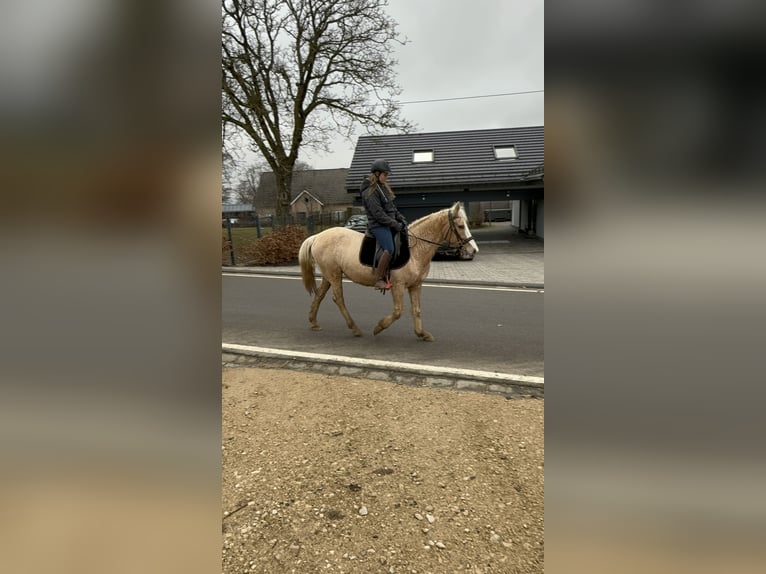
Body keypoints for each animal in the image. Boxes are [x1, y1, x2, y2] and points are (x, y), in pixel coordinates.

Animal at [300, 202, 480, 342]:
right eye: (460, 226)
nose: (473, 250)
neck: (414, 250)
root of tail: (317, 236)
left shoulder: (415, 285)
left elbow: (416, 310)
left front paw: (422, 334)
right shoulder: (398, 286)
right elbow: (398, 312)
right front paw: (379, 327)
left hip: (328, 276)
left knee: (320, 295)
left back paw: (313, 322)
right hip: (334, 275)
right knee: (338, 299)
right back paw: (354, 328)